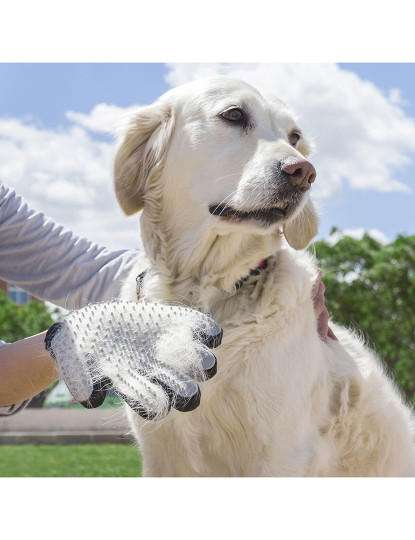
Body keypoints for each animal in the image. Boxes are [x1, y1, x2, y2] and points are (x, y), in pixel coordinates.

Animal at [113, 77, 415, 476]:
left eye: (295, 137)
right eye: (234, 115)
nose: (304, 172)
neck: (204, 290)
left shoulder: (280, 453)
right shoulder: (161, 454)